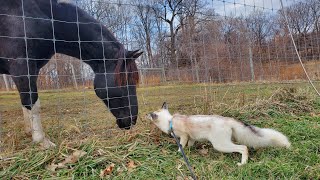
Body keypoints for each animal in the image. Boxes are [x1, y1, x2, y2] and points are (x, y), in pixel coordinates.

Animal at [0, 0, 142, 148]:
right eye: (124, 80)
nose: (132, 120)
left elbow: (25, 103)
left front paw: (29, 132)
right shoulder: (22, 66)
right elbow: (32, 103)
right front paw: (42, 141)